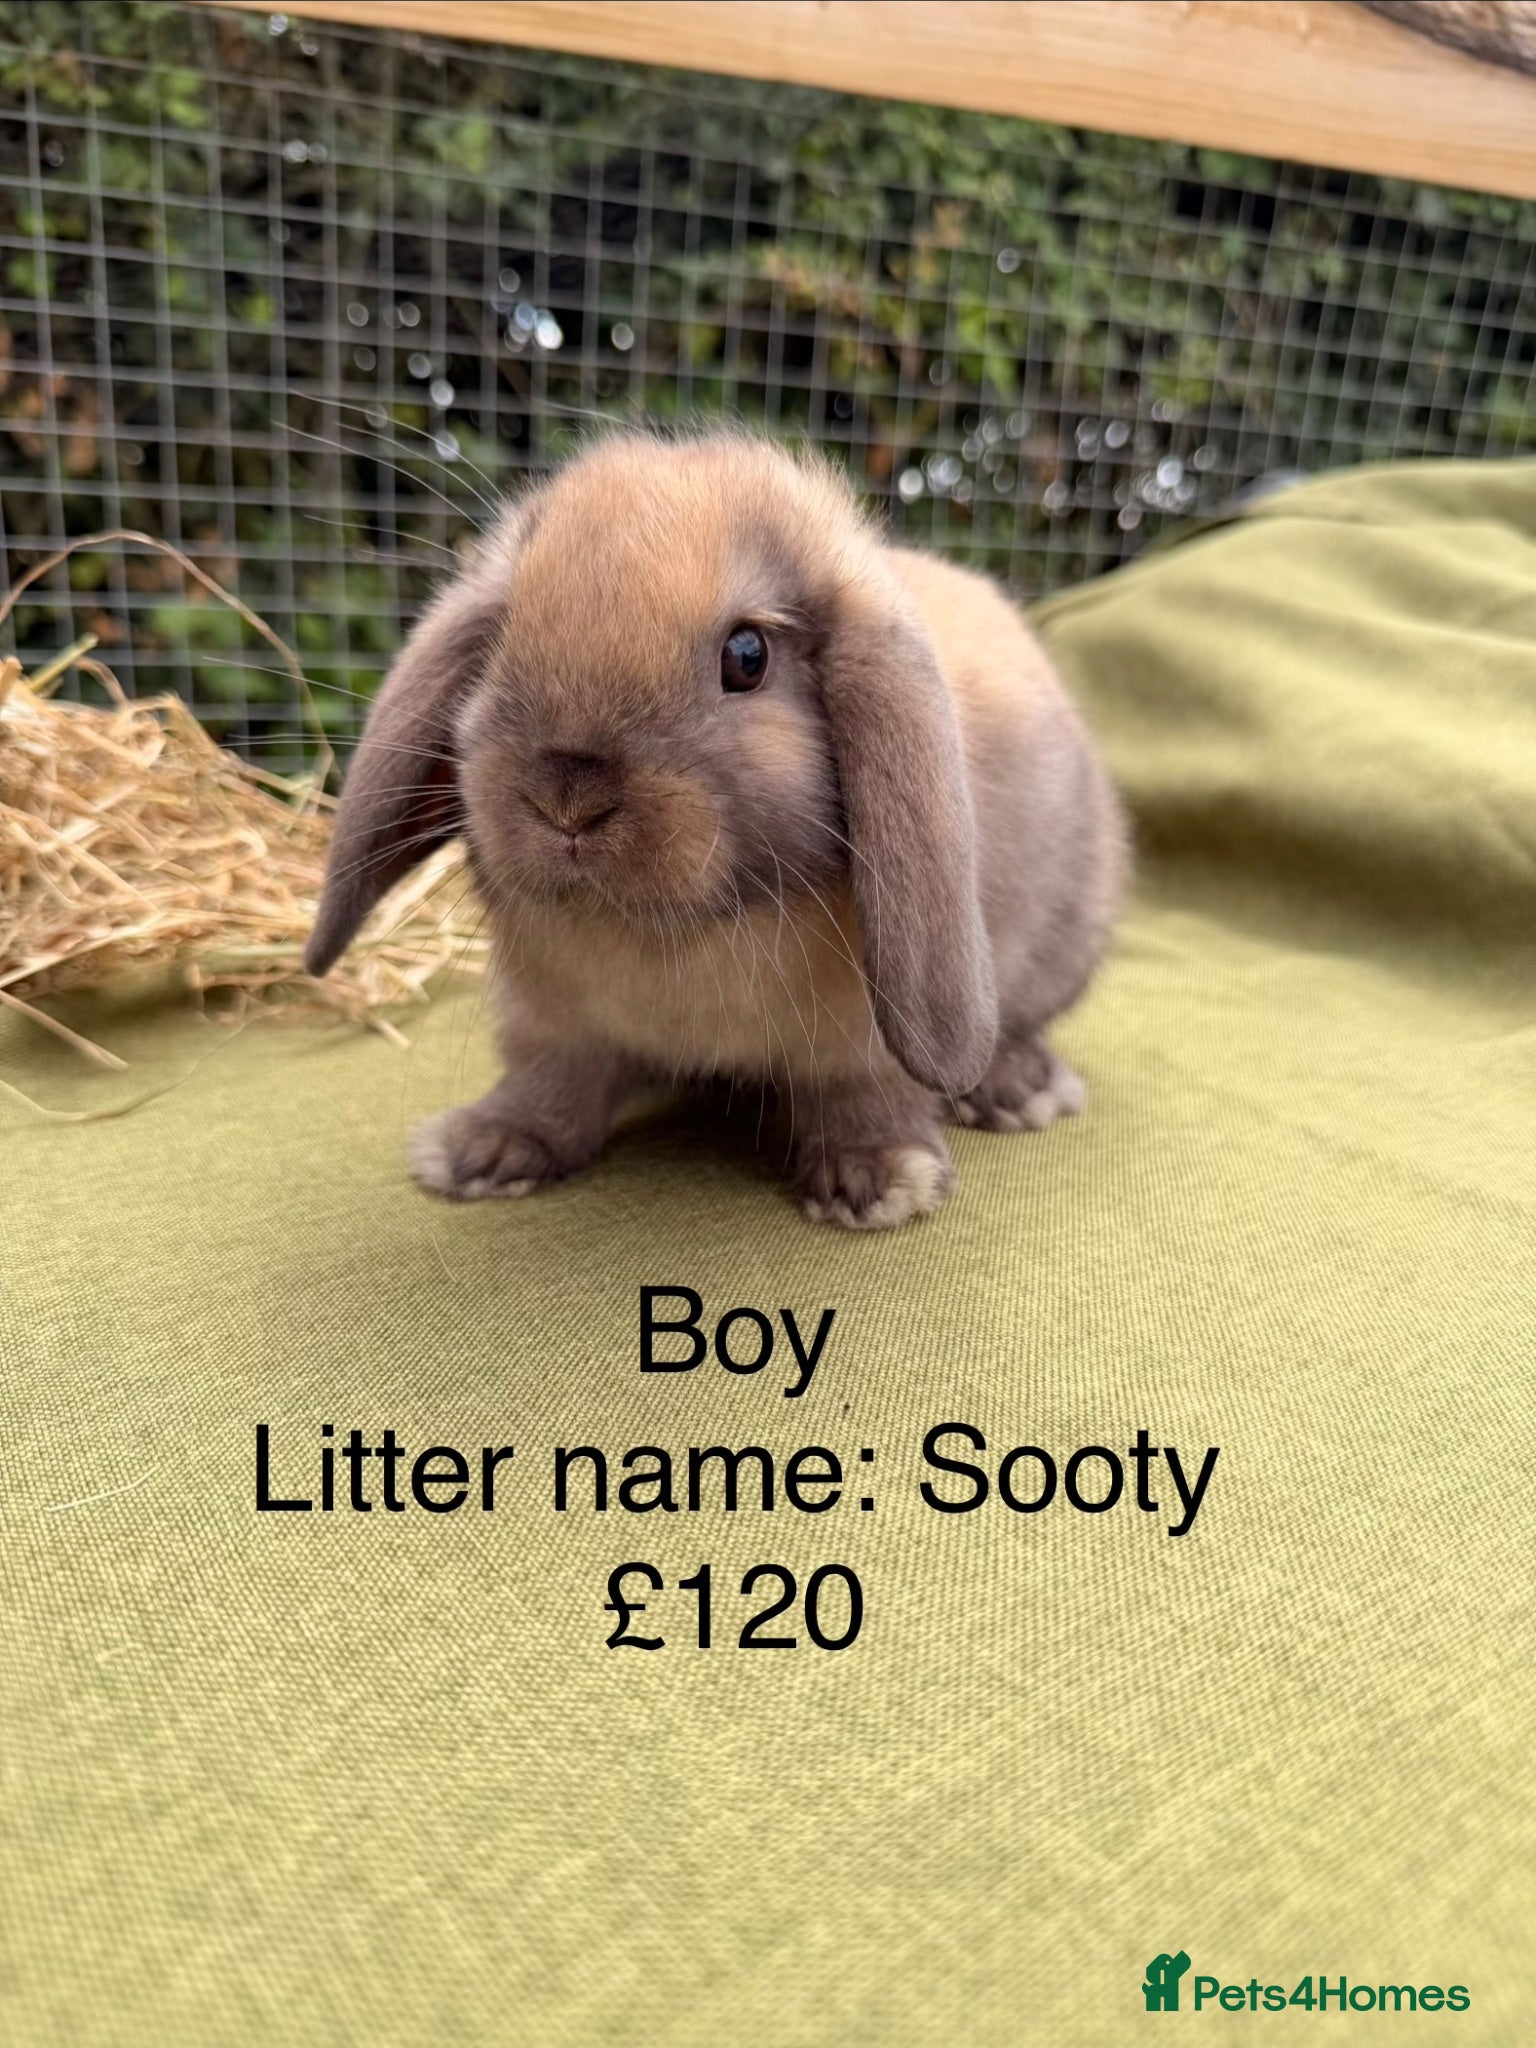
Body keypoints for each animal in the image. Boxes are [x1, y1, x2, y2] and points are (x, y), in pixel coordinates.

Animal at [306, 428, 1127, 1230]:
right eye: (503, 636)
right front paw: (486, 1150)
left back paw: (1018, 1090)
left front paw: (881, 1179)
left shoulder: (864, 1040)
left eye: (747, 655)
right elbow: (552, 1084)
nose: (567, 799)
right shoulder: (553, 1021)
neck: (672, 933)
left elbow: (863, 1093)